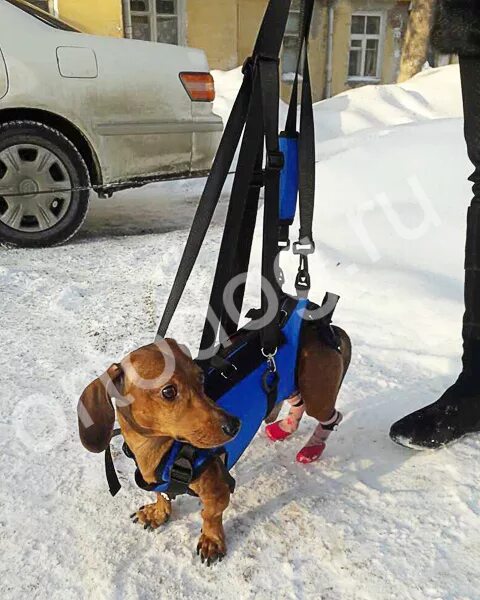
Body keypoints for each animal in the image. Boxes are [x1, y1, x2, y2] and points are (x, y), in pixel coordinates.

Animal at [78, 330, 348, 564]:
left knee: (332, 416)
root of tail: (323, 327)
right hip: (293, 387)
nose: (235, 425)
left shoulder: (218, 490)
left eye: (200, 377)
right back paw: (285, 428)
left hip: (318, 397)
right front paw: (159, 512)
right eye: (168, 391)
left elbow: (209, 514)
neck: (162, 450)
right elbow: (161, 493)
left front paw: (211, 540)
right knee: (297, 402)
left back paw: (312, 448)